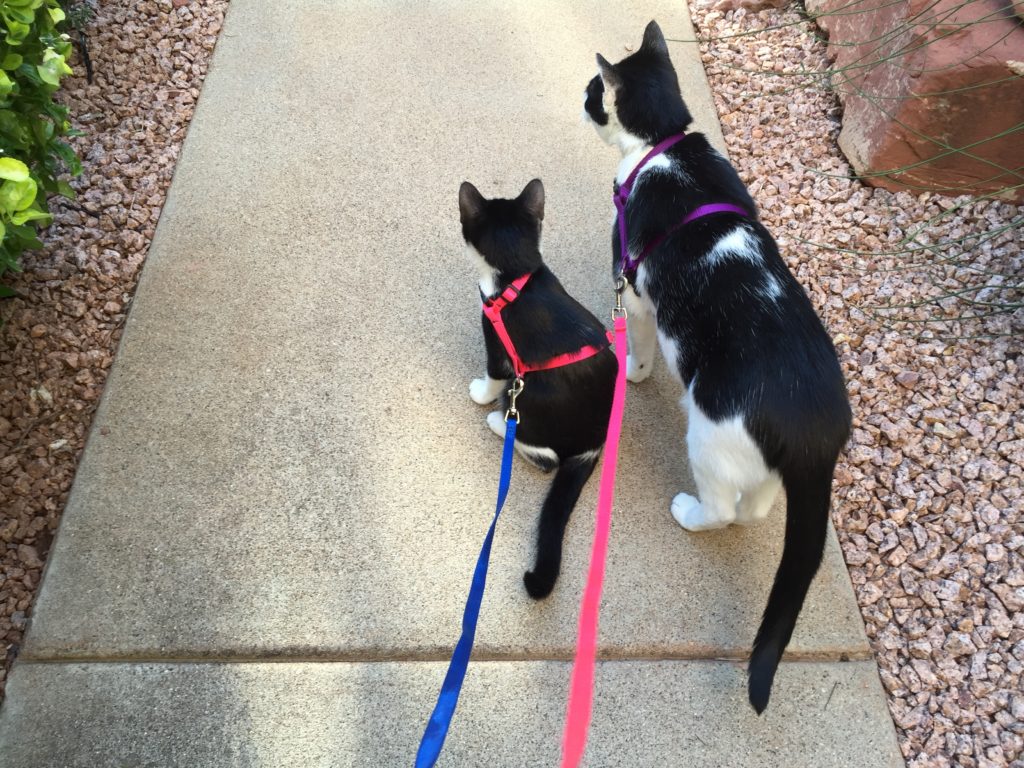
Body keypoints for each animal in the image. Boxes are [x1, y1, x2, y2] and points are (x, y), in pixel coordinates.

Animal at [459, 178, 618, 600]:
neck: (517, 274)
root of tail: (593, 439)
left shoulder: (498, 344)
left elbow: (493, 374)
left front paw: (480, 394)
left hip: (530, 395)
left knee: (546, 456)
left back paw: (500, 423)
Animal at [583, 21, 852, 713]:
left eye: (595, 89)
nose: (582, 97)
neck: (664, 145)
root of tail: (815, 433)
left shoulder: (636, 289)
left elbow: (641, 344)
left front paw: (633, 373)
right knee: (756, 506)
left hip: (708, 435)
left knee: (727, 511)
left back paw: (689, 513)